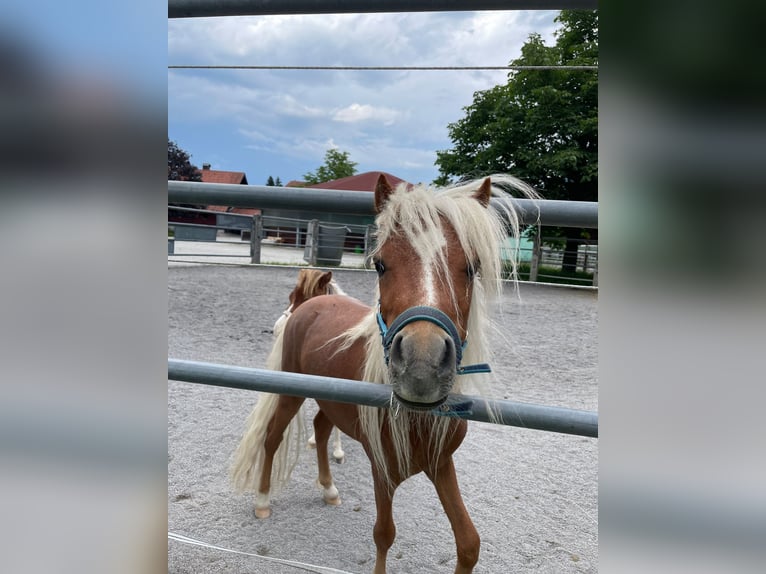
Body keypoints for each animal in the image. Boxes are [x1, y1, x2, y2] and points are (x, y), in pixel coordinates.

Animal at [232, 176, 536, 574]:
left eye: (472, 267)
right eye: (379, 264)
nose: (422, 365)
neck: (416, 418)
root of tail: (309, 303)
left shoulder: (441, 464)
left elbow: (469, 543)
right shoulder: (383, 470)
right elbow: (384, 535)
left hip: (331, 401)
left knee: (321, 428)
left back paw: (329, 490)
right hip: (290, 393)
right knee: (272, 437)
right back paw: (263, 501)